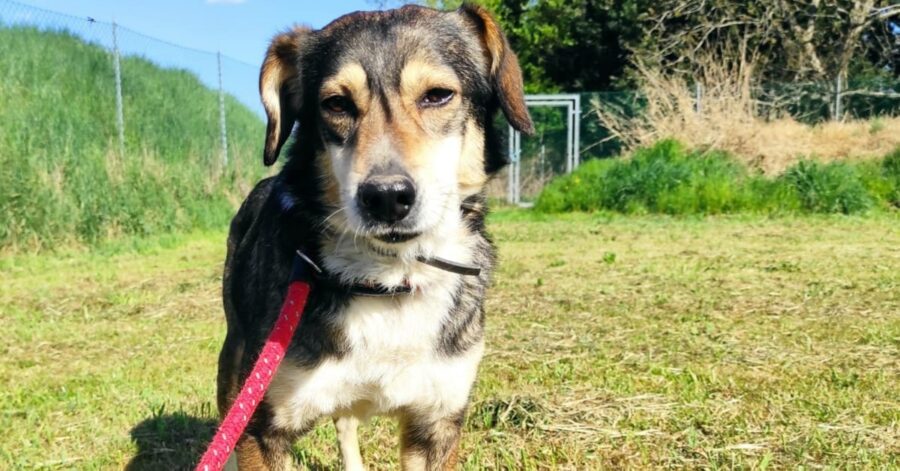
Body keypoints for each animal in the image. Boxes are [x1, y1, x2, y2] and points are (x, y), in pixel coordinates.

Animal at [215, 2, 532, 468]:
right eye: (336, 104)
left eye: (438, 95)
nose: (385, 197)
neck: (389, 279)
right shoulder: (261, 428)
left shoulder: (436, 424)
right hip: (235, 362)